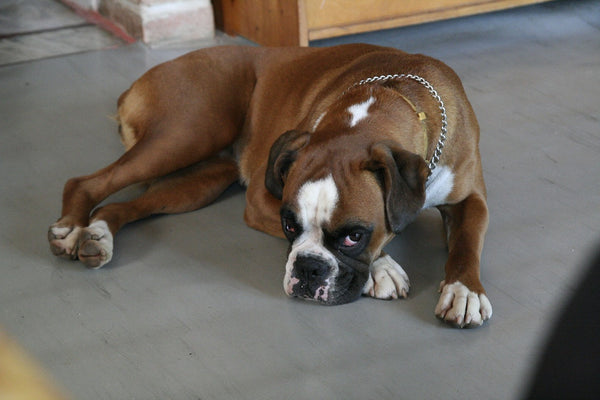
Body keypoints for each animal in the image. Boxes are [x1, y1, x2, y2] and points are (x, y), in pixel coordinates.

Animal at [49, 43, 492, 328]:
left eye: (353, 236)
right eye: (289, 225)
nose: (308, 268)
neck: (389, 97)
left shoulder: (472, 199)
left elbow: (467, 242)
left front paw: (463, 290)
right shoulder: (261, 199)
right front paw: (382, 269)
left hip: (199, 181)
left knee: (122, 204)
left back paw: (98, 235)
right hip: (185, 134)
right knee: (87, 181)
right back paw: (71, 228)